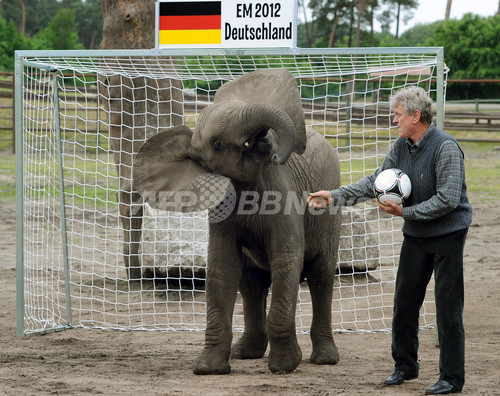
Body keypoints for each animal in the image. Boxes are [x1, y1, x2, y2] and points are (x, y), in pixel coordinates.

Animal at [133, 68, 342, 374]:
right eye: (218, 144)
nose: (276, 152)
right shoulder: (223, 209)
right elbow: (222, 266)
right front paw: (208, 369)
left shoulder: (283, 194)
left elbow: (286, 258)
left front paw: (285, 366)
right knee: (252, 283)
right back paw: (246, 353)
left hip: (330, 209)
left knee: (321, 276)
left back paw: (325, 359)